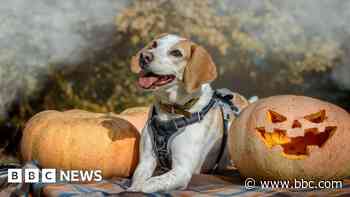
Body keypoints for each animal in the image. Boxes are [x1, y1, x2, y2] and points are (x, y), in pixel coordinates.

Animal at [127, 33, 247, 192]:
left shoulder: (181, 170)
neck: (170, 111)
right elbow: (138, 181)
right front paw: (132, 189)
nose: (144, 56)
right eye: (154, 45)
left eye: (176, 53)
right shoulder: (146, 161)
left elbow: (149, 184)